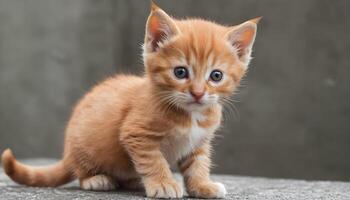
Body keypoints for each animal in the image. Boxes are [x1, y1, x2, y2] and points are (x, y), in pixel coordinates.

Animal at [1, 1, 260, 198]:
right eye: (180, 72)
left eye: (216, 76)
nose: (197, 93)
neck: (190, 115)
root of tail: (67, 153)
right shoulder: (136, 133)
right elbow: (154, 161)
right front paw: (163, 184)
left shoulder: (198, 143)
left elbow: (198, 165)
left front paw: (203, 186)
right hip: (84, 145)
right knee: (81, 171)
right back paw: (97, 179)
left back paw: (134, 181)